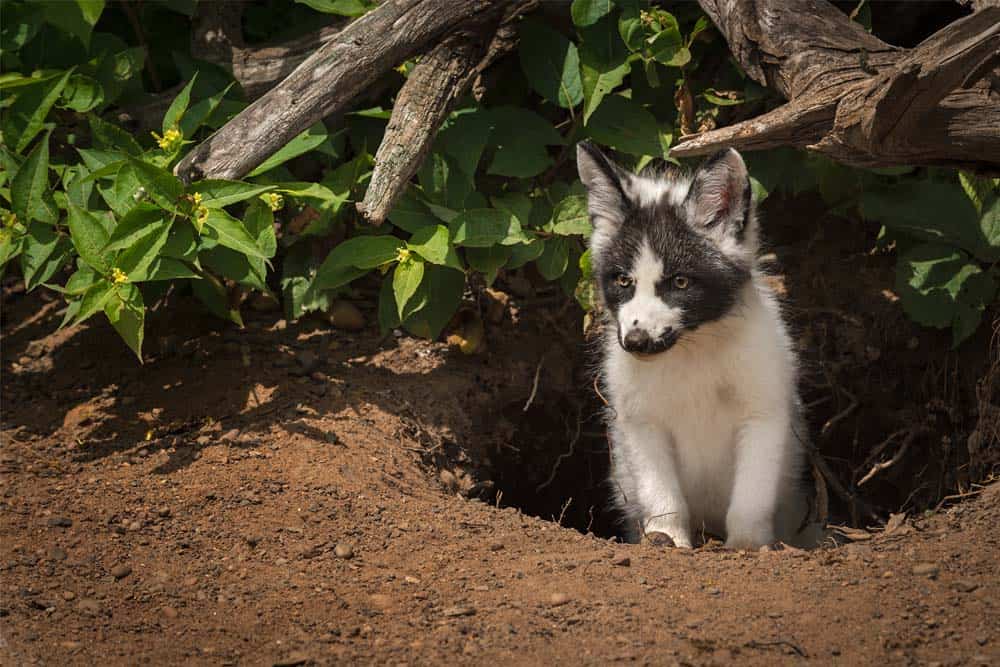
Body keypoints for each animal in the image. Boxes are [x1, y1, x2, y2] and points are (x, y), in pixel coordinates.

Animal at [580, 140, 820, 548]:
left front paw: (747, 548)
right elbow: (665, 501)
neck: (693, 351)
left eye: (680, 282)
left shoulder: (764, 415)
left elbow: (749, 503)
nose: (635, 341)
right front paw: (668, 541)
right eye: (623, 281)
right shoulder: (640, 423)